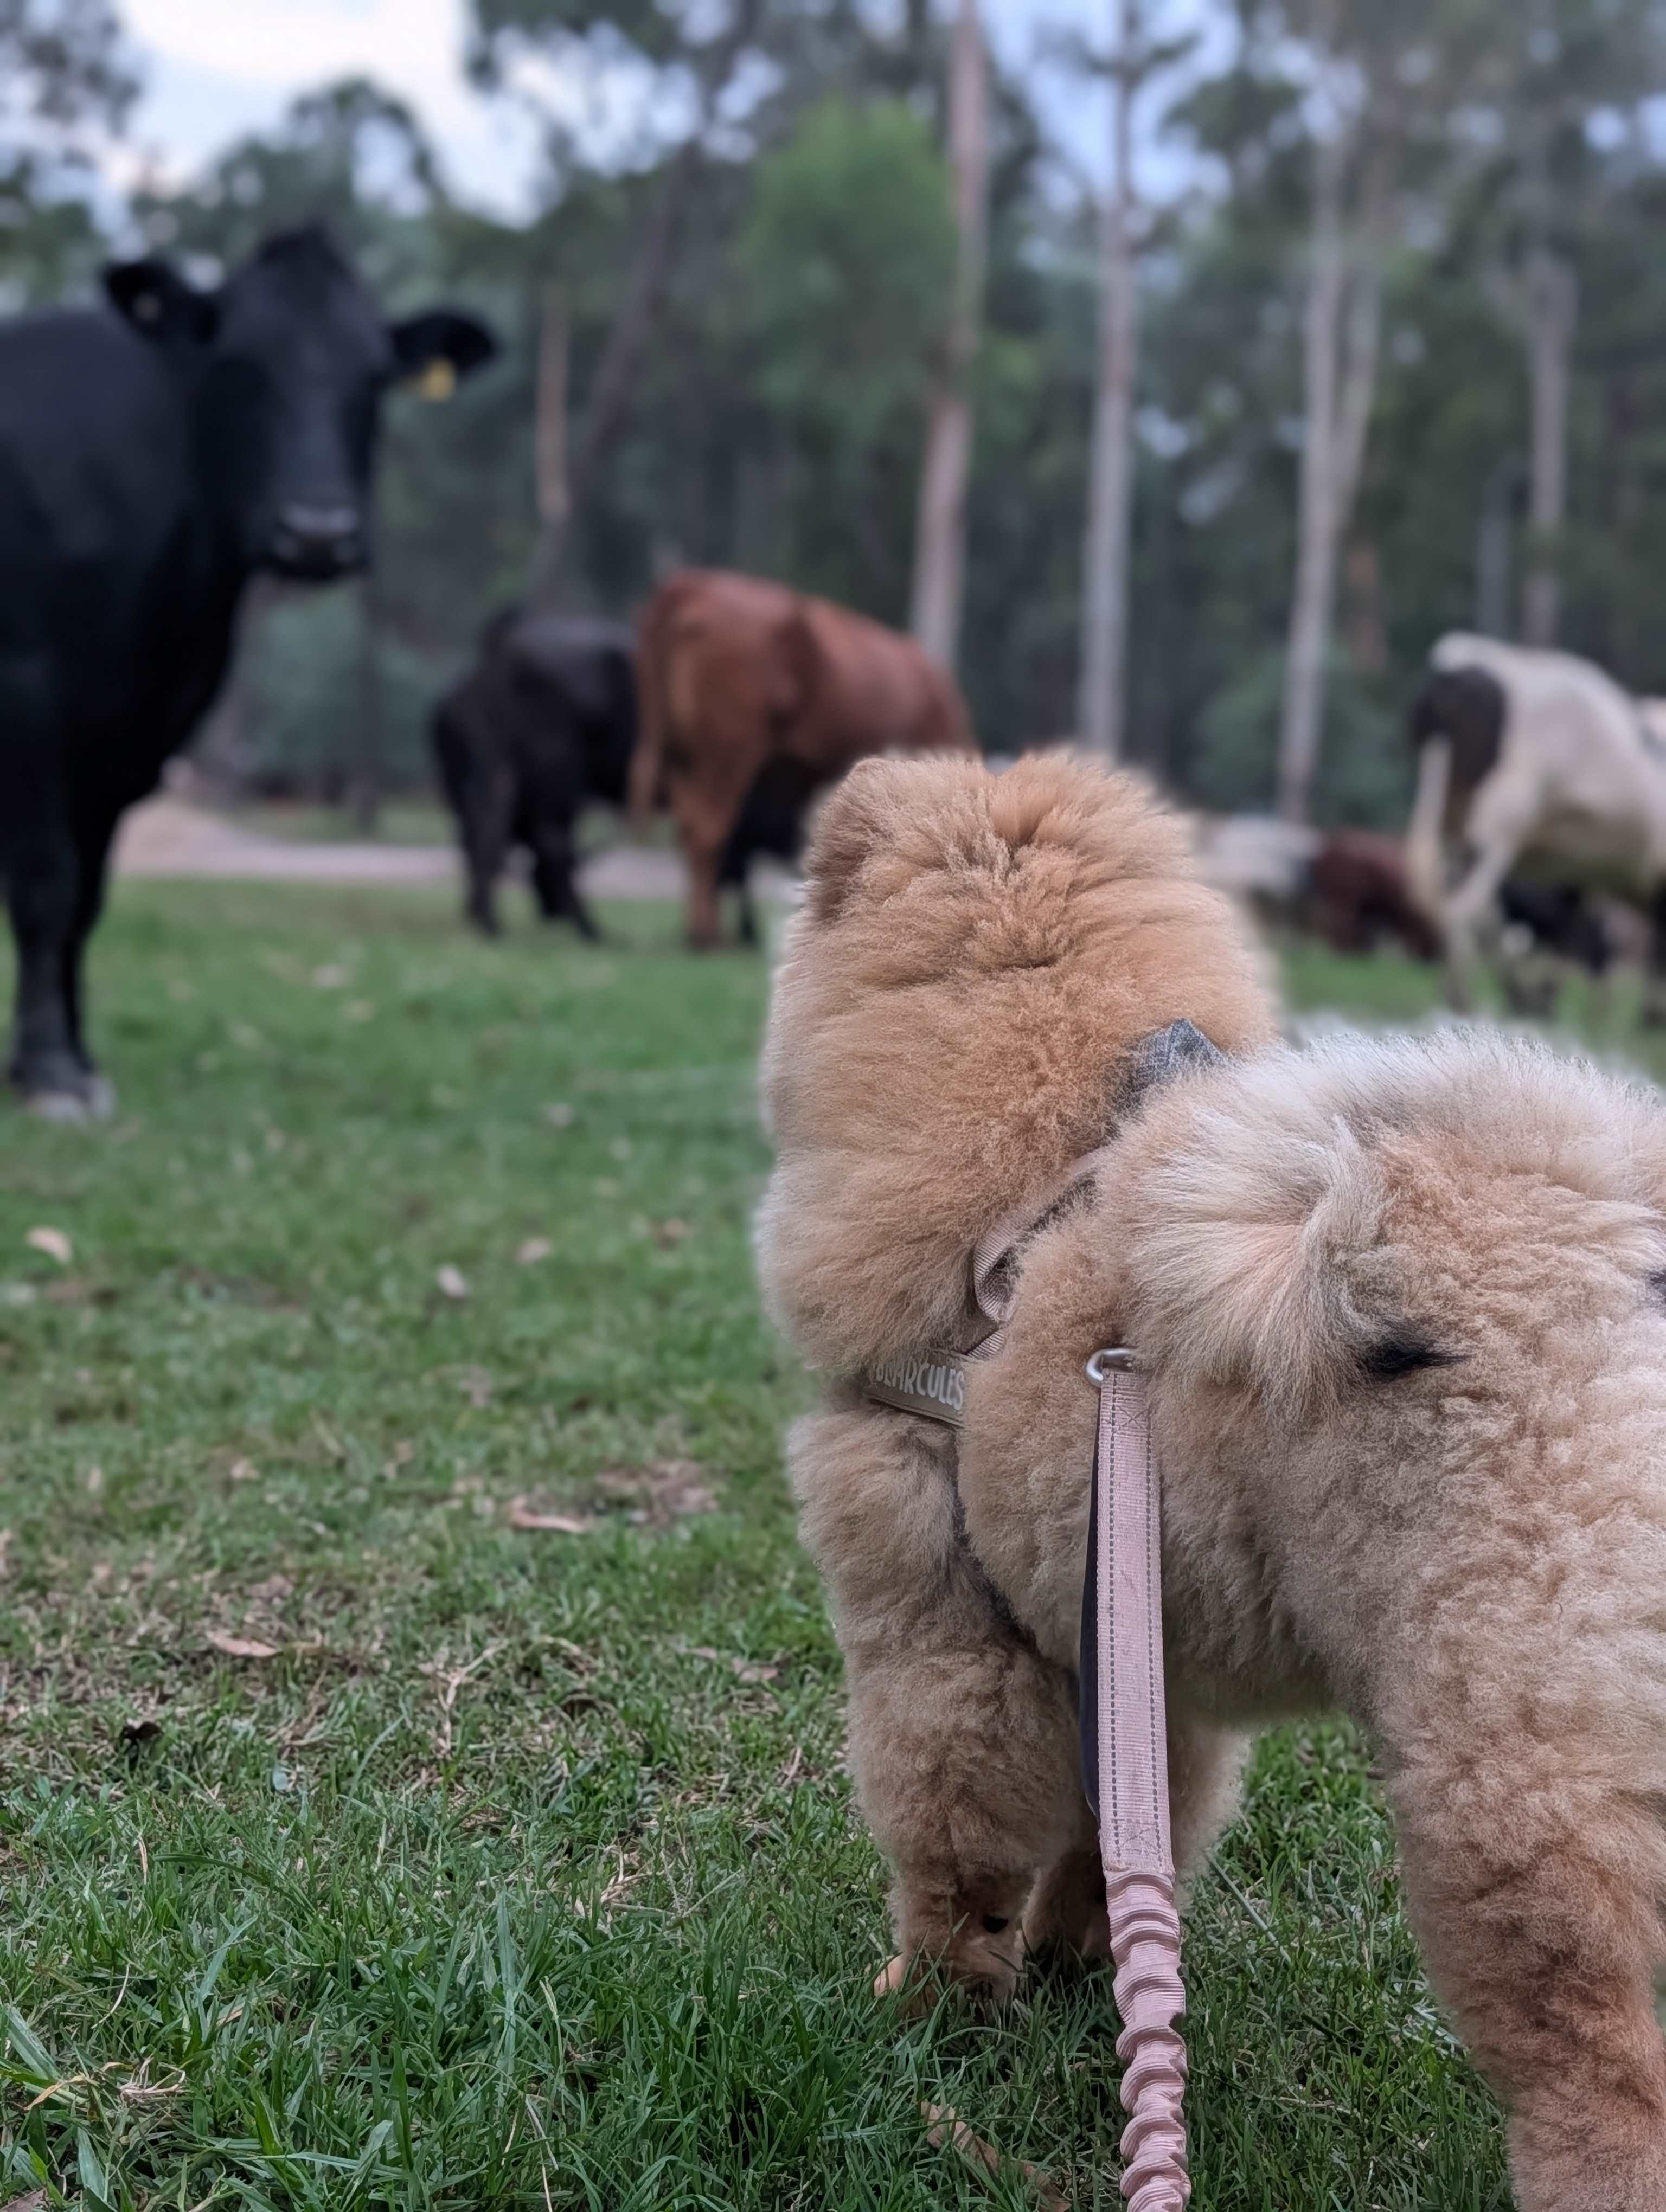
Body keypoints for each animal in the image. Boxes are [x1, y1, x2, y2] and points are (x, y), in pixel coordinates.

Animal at [0, 224, 497, 1116]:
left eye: (374, 378)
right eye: (240, 365)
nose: (318, 532)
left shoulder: (130, 738)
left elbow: (88, 896)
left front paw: (74, 1060)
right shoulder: (26, 691)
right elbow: (45, 882)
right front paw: (51, 1072)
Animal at [1405, 633, 1666, 1015]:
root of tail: (1461, 664)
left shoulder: (1577, 875)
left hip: (1452, 825)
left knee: (1469, 914)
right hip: (1496, 827)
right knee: (1469, 911)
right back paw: (1464, 997)